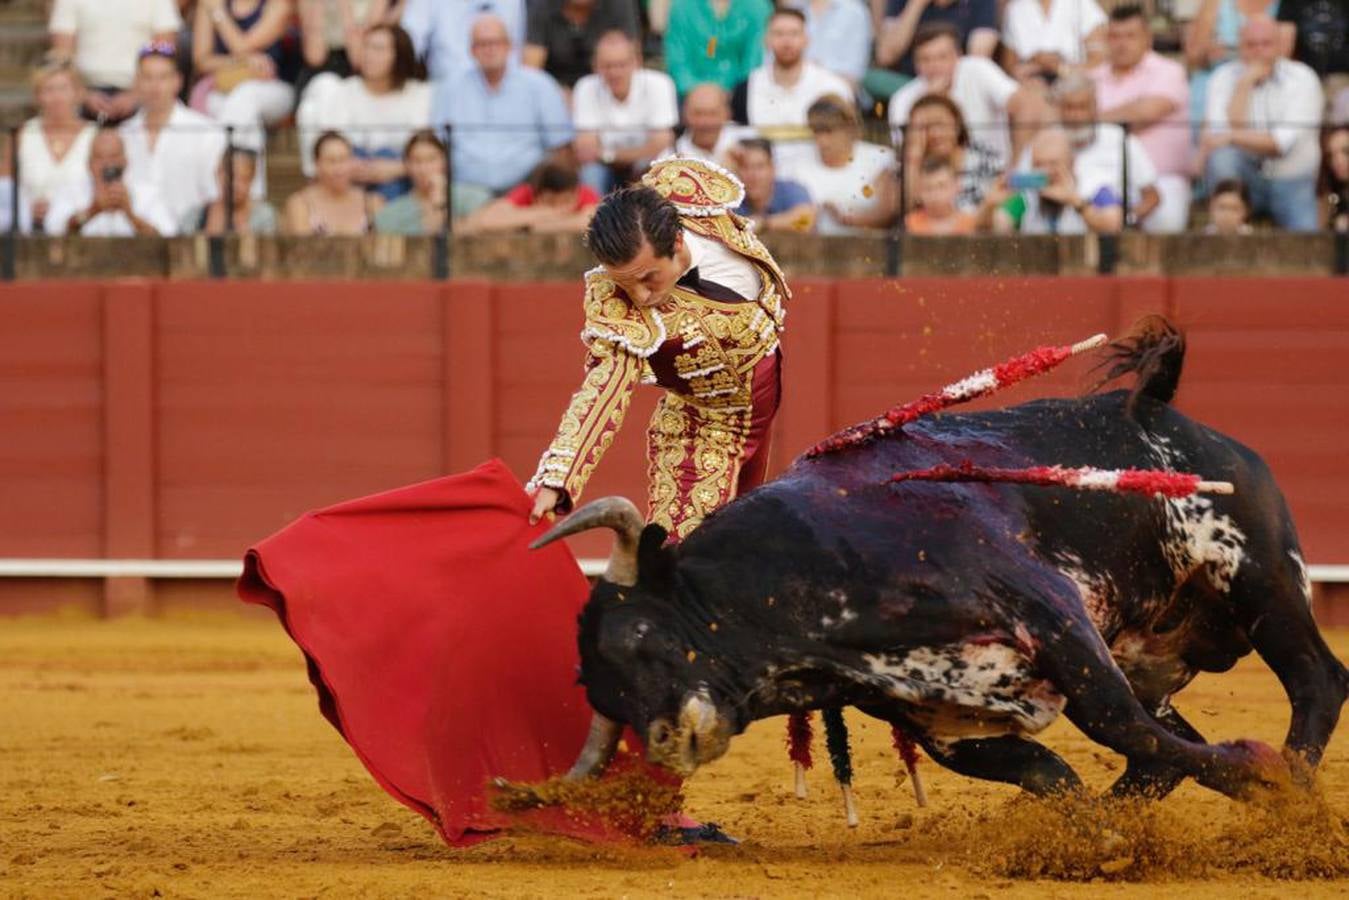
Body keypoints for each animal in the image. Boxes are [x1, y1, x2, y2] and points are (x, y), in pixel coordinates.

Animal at [536, 333, 1349, 804]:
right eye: (603, 692)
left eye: (640, 637)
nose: (667, 743)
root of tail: (1155, 411)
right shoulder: (946, 725)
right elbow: (1061, 777)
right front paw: (1092, 838)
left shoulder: (1047, 610)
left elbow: (1117, 725)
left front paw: (1256, 777)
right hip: (1146, 648)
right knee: (1161, 755)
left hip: (1258, 575)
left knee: (1316, 678)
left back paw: (1292, 791)